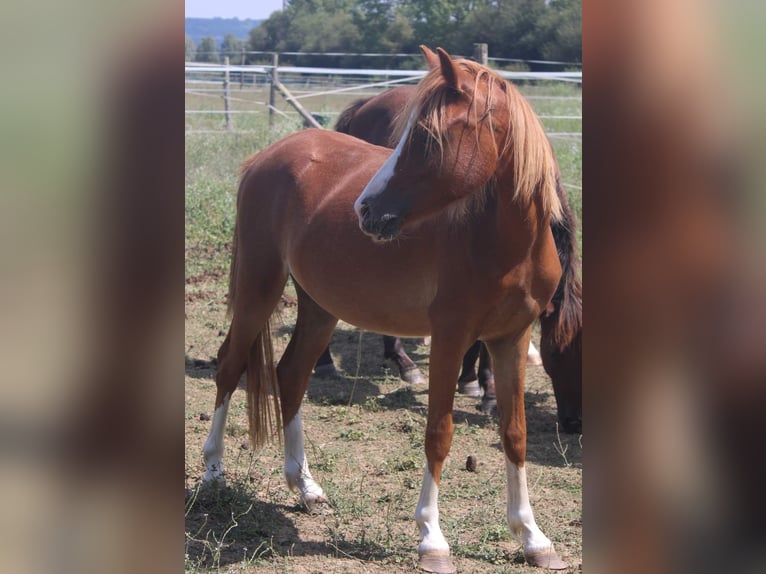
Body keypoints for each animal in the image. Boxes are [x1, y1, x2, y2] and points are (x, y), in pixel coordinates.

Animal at [322, 81, 584, 432]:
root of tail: (368, 102)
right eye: (557, 355)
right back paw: (397, 362)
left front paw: (472, 379)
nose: (574, 423)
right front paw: (486, 390)